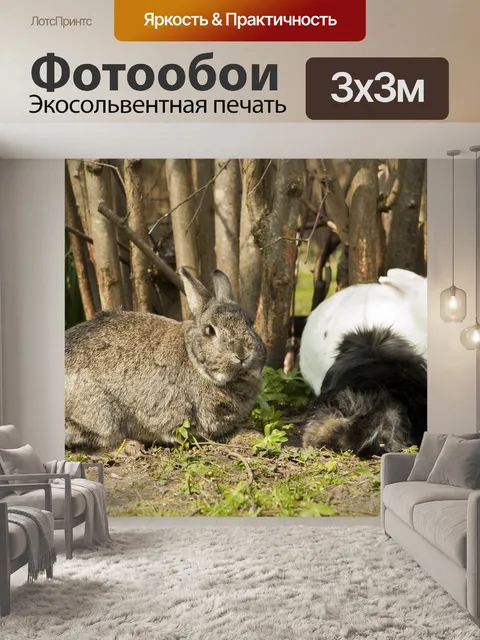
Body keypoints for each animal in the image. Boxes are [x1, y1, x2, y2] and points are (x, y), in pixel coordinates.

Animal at [65, 268, 267, 450]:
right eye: (210, 330)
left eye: (250, 323)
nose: (242, 353)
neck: (193, 358)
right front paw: (252, 435)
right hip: (101, 415)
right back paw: (130, 448)